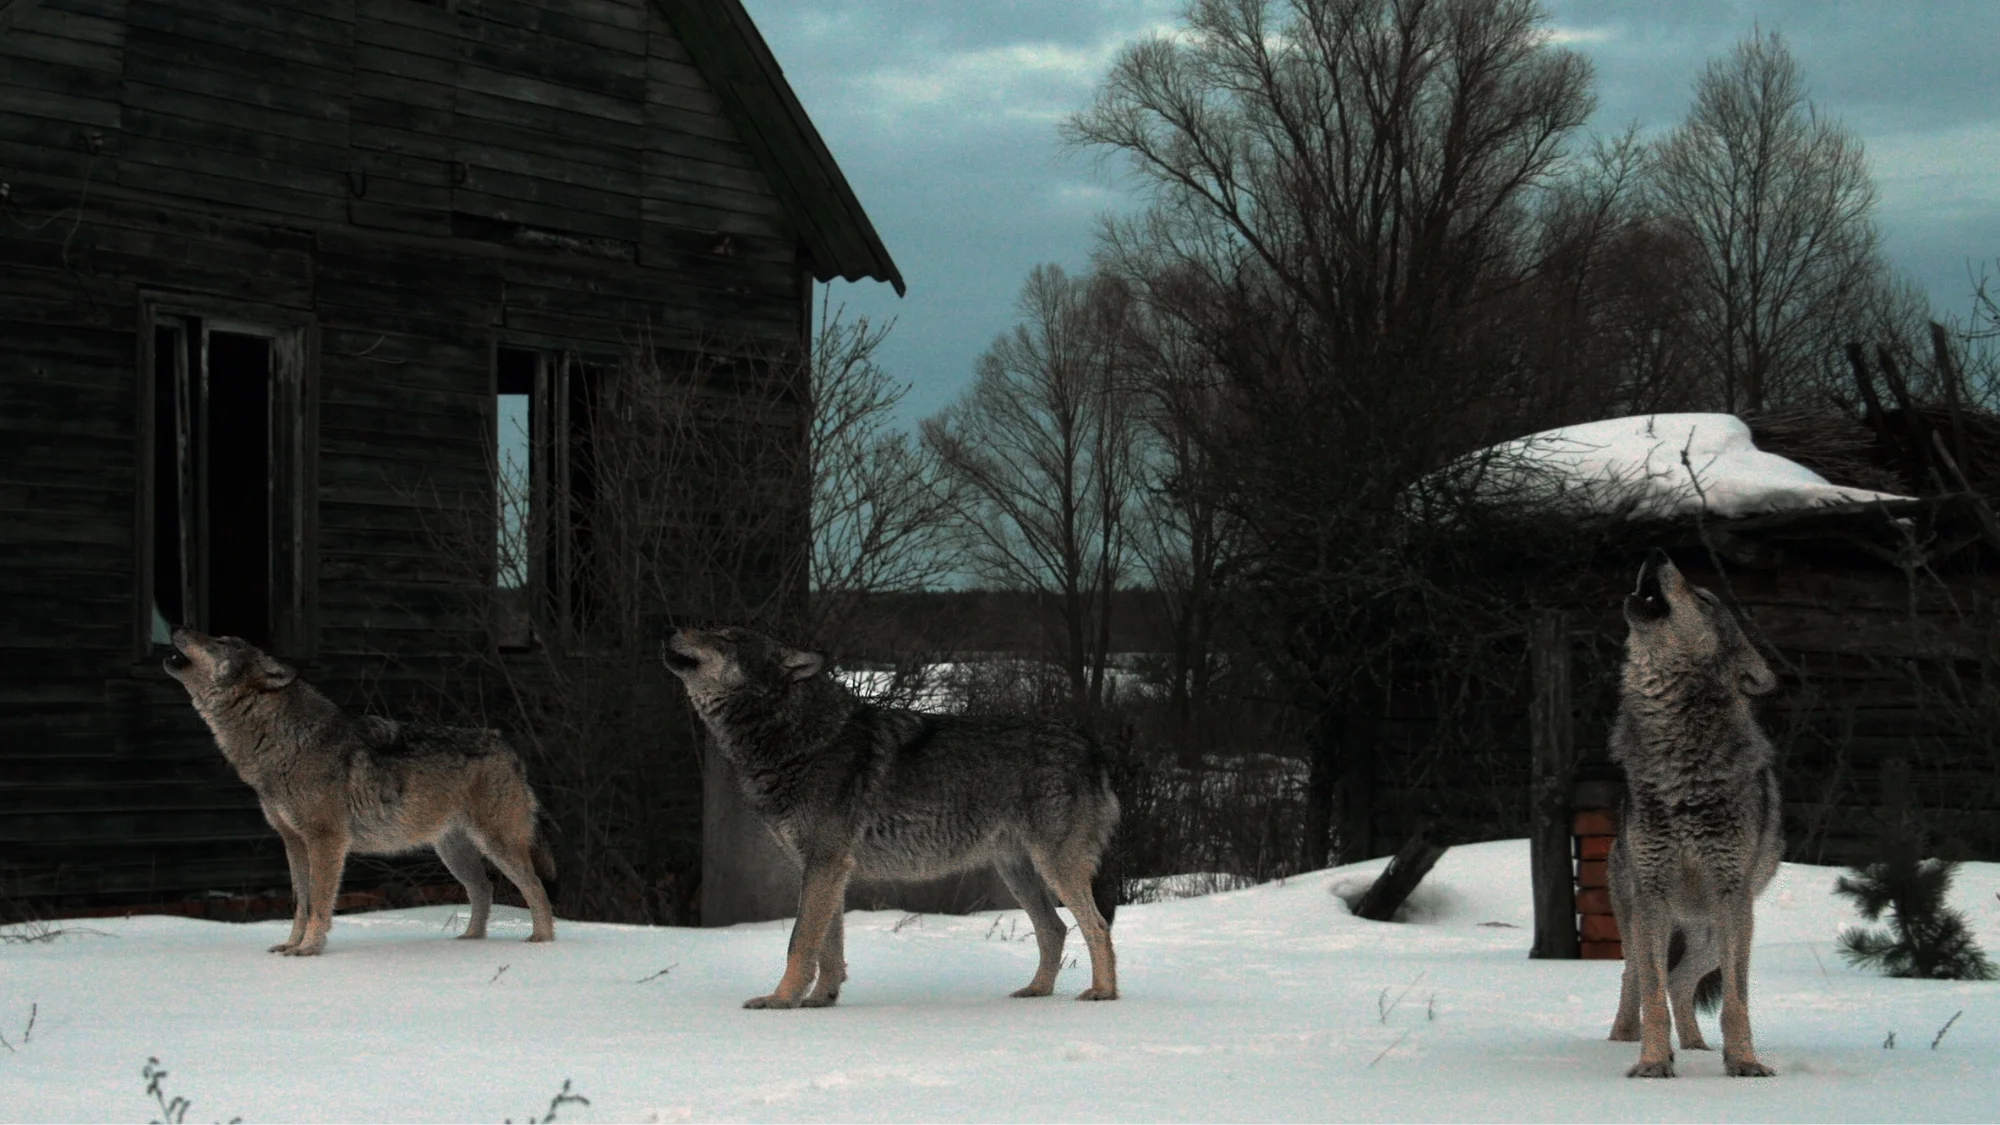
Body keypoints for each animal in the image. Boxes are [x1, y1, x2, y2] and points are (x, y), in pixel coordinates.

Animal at [164, 628, 556, 955]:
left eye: (220, 641)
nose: (178, 627)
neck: (282, 740)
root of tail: (505, 744)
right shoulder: (293, 842)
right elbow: (300, 903)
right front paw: (291, 946)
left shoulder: (327, 841)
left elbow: (319, 903)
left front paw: (309, 950)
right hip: (453, 852)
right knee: (484, 889)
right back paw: (471, 940)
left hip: (497, 845)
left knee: (536, 887)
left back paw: (541, 942)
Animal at [662, 625, 1121, 1008]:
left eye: (727, 638)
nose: (674, 629)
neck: (800, 739)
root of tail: (1091, 745)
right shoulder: (825, 869)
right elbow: (828, 945)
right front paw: (820, 999)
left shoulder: (825, 864)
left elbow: (800, 941)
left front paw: (780, 1000)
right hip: (1017, 872)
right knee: (1054, 929)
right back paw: (1036, 991)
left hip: (1053, 868)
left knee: (1097, 926)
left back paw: (1102, 993)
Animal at [1605, 551, 1783, 1078]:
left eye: (1703, 599)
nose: (1657, 553)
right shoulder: (1653, 895)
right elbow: (1652, 996)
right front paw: (1651, 1064)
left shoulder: (1732, 898)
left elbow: (1736, 1002)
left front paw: (1743, 1063)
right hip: (1642, 918)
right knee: (1636, 980)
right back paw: (1625, 1040)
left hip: (1711, 936)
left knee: (1681, 982)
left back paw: (1698, 1048)